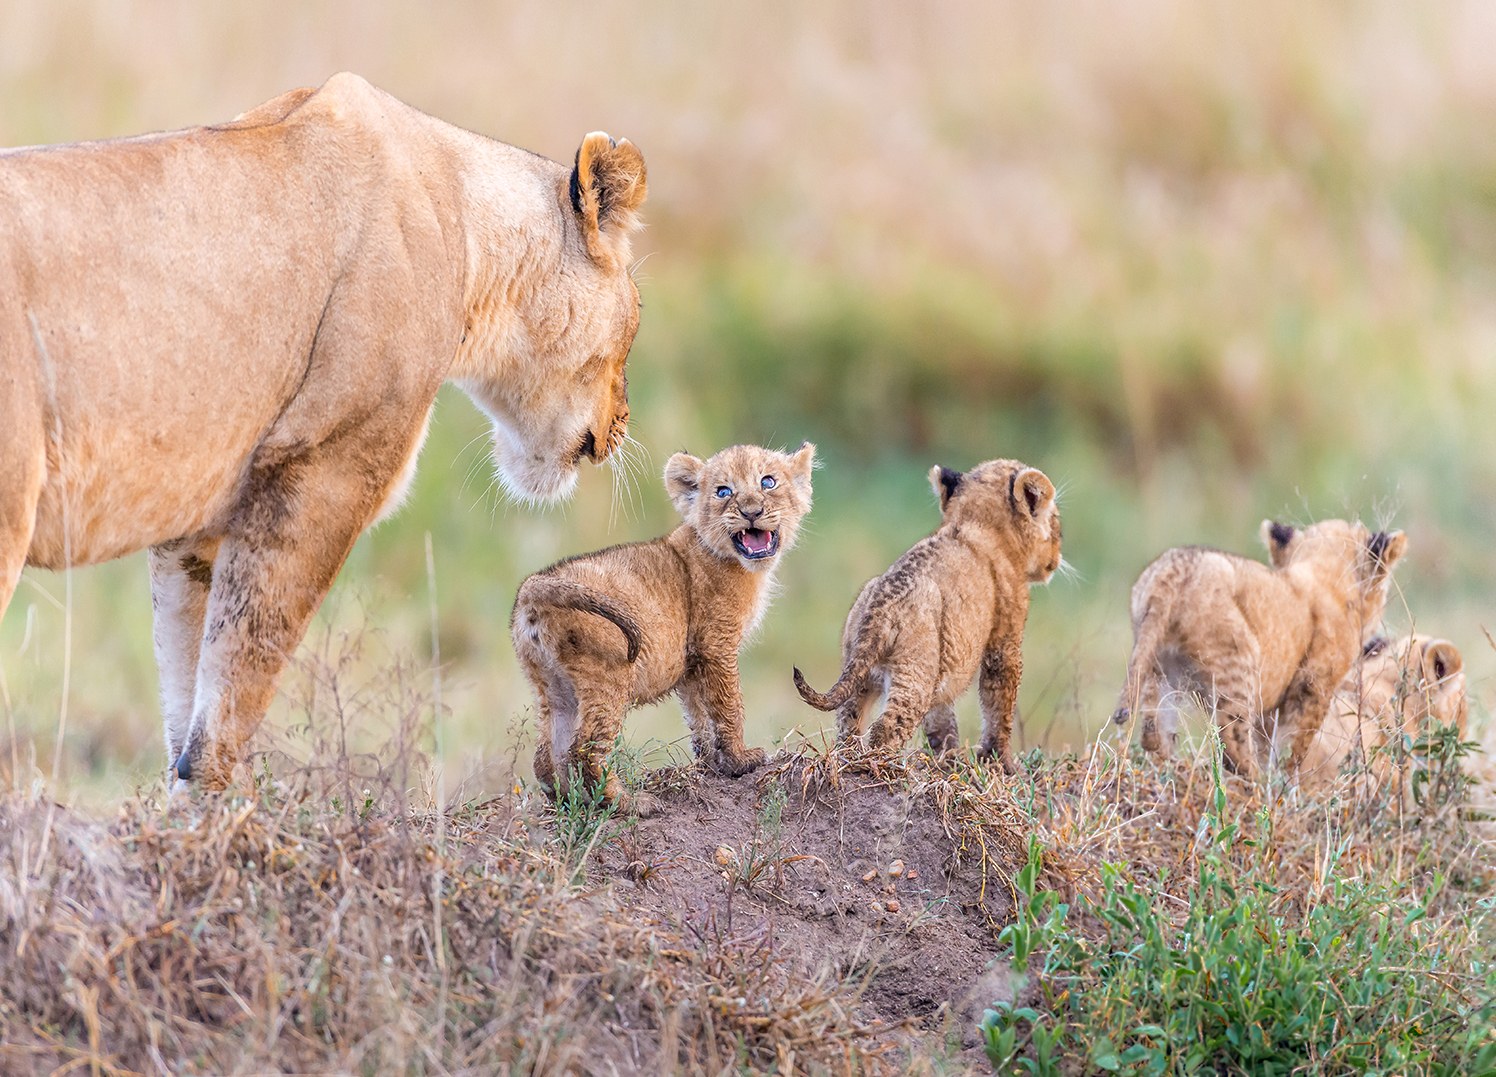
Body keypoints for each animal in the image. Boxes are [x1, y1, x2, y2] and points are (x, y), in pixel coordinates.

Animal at [4, 71, 649, 783]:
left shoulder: (197, 526)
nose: (623, 424)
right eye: (639, 314)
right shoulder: (321, 473)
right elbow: (233, 696)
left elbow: (185, 703)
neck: (468, 231)